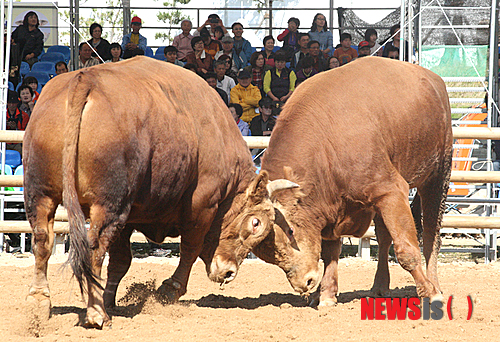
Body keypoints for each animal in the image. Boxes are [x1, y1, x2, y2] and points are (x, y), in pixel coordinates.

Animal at [24, 56, 296, 328]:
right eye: (255, 223)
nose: (228, 273)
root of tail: (85, 79)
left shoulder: (130, 216)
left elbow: (120, 261)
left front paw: (109, 299)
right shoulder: (201, 206)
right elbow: (191, 249)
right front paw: (169, 290)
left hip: (40, 195)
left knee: (43, 240)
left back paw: (40, 302)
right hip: (109, 205)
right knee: (95, 247)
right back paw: (96, 314)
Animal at [211, 57, 454, 306]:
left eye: (290, 231)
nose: (305, 283)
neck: (327, 143)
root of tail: (432, 78)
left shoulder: (390, 191)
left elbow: (407, 250)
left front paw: (429, 293)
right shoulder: (332, 205)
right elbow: (331, 253)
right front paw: (326, 296)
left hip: (437, 176)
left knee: (431, 234)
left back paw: (435, 285)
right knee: (384, 237)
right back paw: (379, 286)